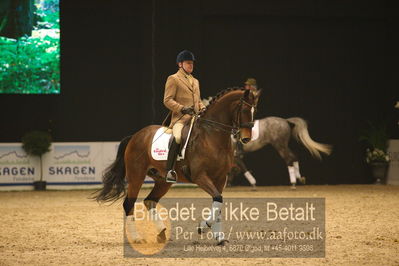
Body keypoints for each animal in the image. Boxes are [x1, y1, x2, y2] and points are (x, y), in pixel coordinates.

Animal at [94, 88, 260, 246]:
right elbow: (218, 198)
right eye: (245, 110)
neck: (212, 136)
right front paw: (203, 227)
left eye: (254, 111)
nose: (246, 138)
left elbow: (218, 203)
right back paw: (137, 239)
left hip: (163, 181)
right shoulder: (200, 176)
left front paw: (220, 238)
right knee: (129, 203)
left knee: (149, 201)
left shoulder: (220, 179)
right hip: (136, 176)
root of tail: (135, 136)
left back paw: (161, 233)